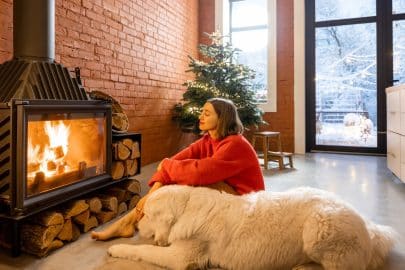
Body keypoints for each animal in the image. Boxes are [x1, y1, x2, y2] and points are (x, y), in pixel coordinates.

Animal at [107, 186, 394, 270]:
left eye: (146, 214)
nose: (137, 225)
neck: (187, 208)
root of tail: (371, 230)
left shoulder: (181, 257)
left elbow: (142, 251)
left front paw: (116, 248)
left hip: (318, 227)